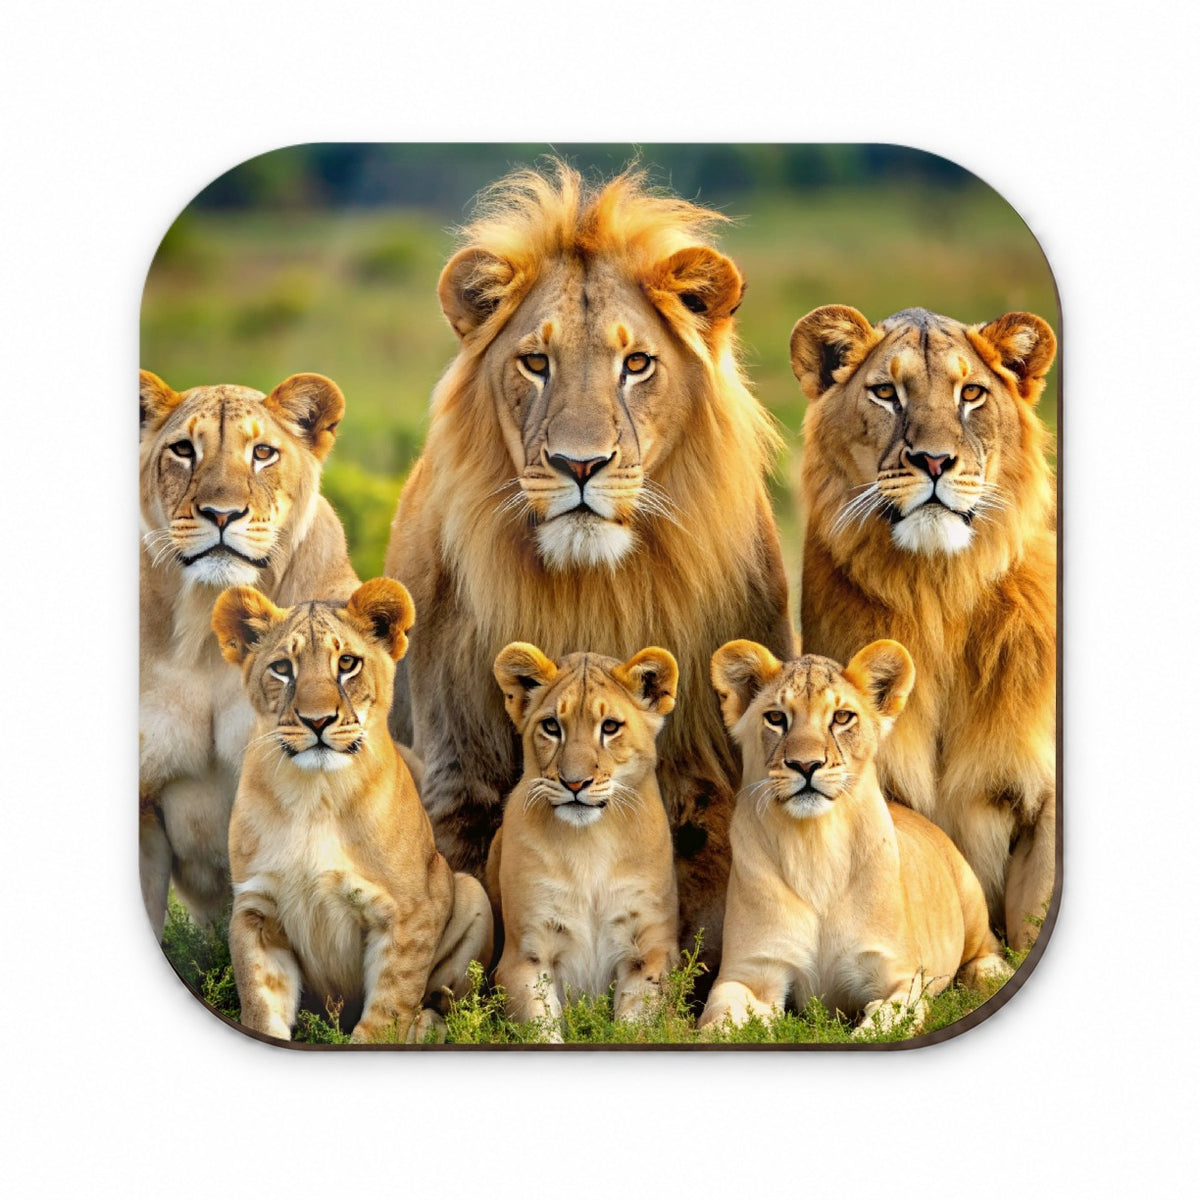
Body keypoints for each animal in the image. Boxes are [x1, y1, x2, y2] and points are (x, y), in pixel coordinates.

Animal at [211, 578, 493, 1044]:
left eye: (347, 663)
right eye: (282, 668)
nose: (317, 721)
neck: (315, 796)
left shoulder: (409, 914)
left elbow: (388, 1010)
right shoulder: (256, 910)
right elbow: (260, 1005)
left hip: (470, 891)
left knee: (443, 1001)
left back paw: (426, 1027)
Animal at [384, 163, 794, 967]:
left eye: (636, 364)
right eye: (535, 363)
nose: (580, 464)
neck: (591, 587)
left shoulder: (708, 776)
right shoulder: (459, 769)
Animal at [486, 643, 679, 1037]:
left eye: (610, 727)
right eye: (551, 726)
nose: (574, 783)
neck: (591, 841)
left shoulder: (648, 952)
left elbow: (633, 1027)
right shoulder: (524, 956)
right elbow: (541, 1030)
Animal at [700, 639, 1009, 1035]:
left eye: (842, 717)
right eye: (776, 718)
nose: (806, 765)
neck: (814, 844)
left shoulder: (899, 975)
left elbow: (887, 1024)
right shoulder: (748, 974)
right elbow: (722, 1022)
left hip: (970, 900)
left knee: (985, 947)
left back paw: (991, 974)